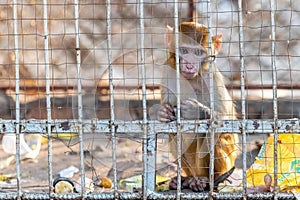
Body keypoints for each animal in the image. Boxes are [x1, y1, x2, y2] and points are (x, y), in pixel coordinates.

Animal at [157, 21, 239, 191]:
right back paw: (186, 180)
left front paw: (196, 110)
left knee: (209, 133)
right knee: (175, 133)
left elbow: (224, 120)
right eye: (184, 51)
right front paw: (163, 113)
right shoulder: (168, 69)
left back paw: (205, 180)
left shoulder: (211, 77)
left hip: (227, 162)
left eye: (198, 53)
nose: (189, 65)